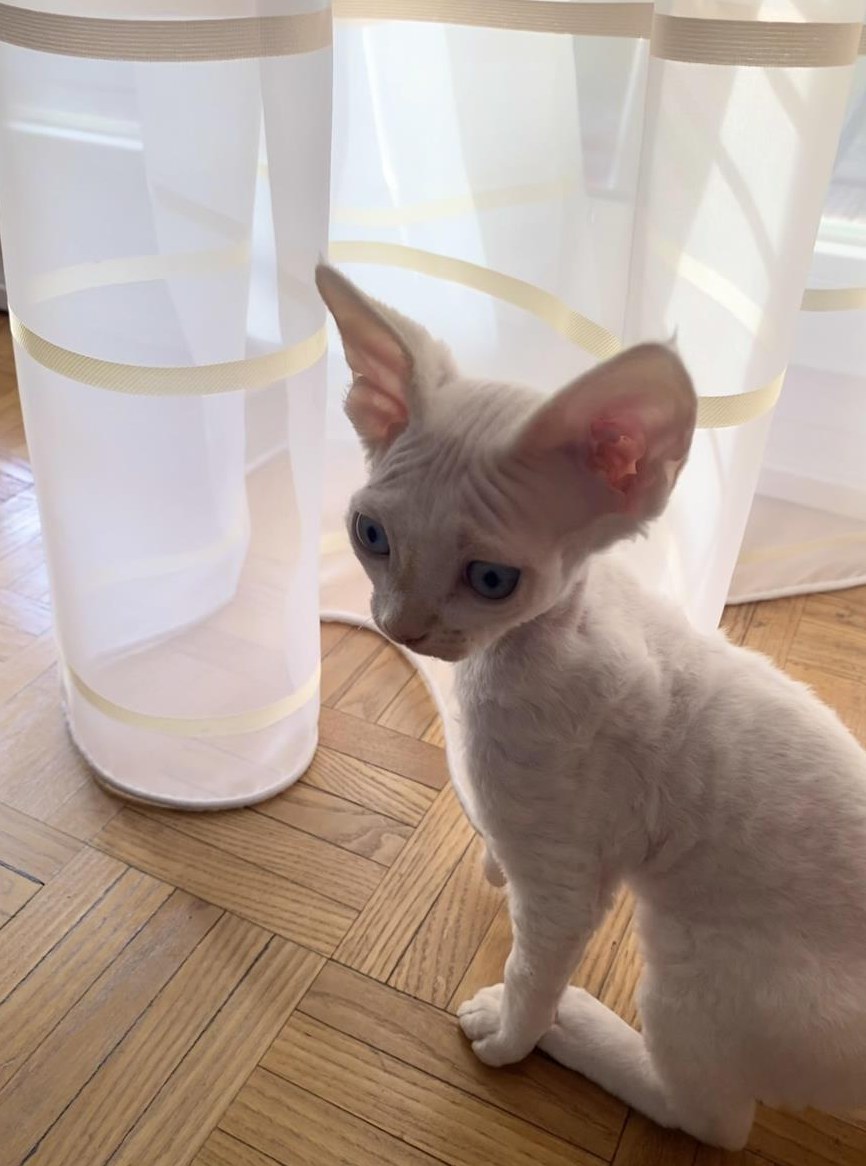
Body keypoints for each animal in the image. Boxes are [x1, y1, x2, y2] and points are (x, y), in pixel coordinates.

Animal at [316, 263, 866, 1150]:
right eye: (371, 535)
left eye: (492, 580)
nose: (402, 627)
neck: (530, 647)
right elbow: (501, 855)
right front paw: (491, 866)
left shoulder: (567, 875)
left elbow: (531, 963)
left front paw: (512, 1034)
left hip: (699, 960)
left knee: (714, 1119)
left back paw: (576, 1030)